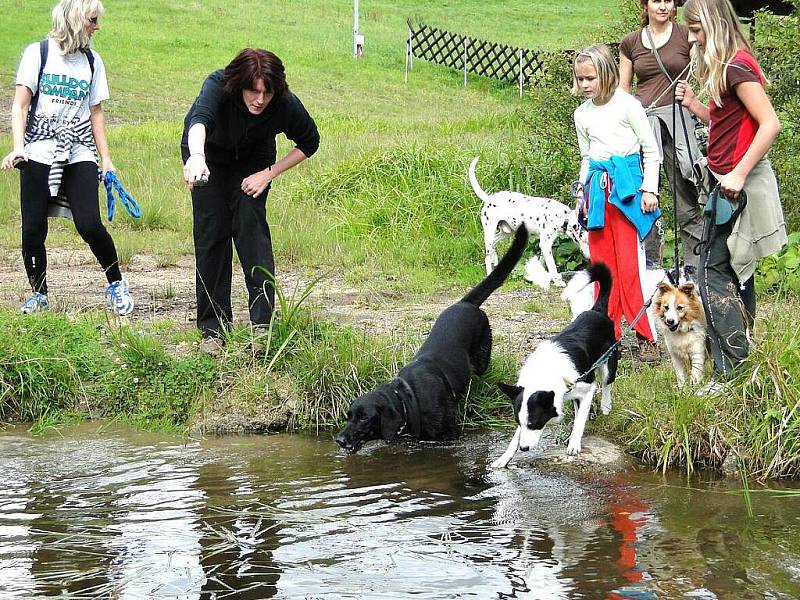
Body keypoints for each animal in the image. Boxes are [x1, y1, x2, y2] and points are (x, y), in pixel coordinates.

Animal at [334, 227, 528, 452]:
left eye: (364, 418)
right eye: (348, 416)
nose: (339, 439)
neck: (406, 400)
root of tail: (465, 303)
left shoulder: (450, 433)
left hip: (482, 358)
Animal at [466, 156, 592, 290]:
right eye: (587, 241)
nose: (590, 258)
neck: (563, 216)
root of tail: (489, 198)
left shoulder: (544, 246)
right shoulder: (546, 244)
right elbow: (552, 267)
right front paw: (558, 282)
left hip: (506, 232)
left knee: (494, 245)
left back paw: (495, 259)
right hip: (490, 231)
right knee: (487, 256)